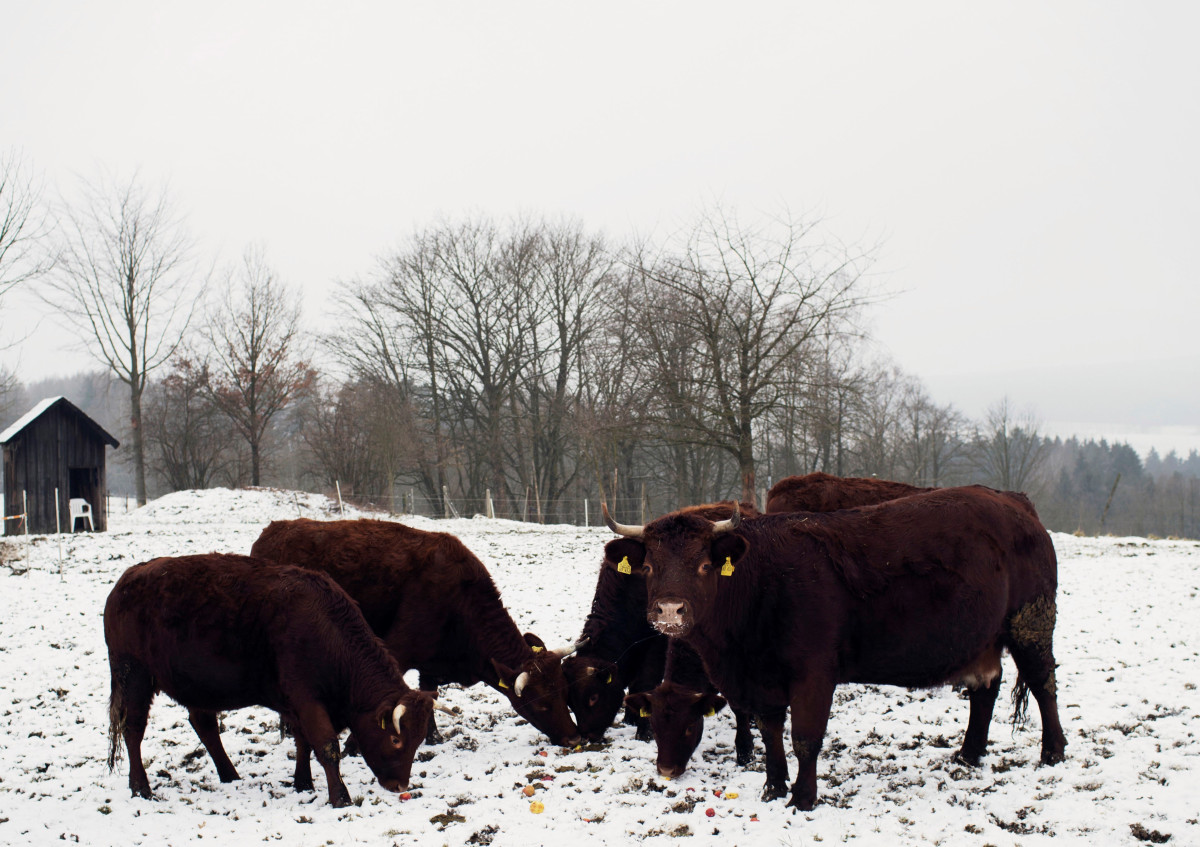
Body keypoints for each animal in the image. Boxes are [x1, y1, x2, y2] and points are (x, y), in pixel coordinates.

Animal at [105, 554, 444, 806]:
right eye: (396, 739)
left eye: (417, 740)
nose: (399, 784)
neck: (325, 632)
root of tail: (127, 579)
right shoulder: (307, 699)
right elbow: (326, 746)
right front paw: (340, 797)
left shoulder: (296, 704)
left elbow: (303, 742)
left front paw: (303, 783)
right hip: (134, 677)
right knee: (133, 730)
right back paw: (141, 787)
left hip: (195, 687)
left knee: (204, 725)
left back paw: (229, 774)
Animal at [249, 513, 580, 743]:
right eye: (541, 702)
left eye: (564, 691)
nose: (574, 737)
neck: (459, 598)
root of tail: (272, 531)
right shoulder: (397, 649)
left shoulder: (432, 662)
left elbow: (429, 694)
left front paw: (433, 737)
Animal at [556, 499, 753, 748]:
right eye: (570, 702)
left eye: (593, 697)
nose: (587, 735)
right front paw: (631, 717)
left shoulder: (656, 645)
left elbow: (646, 682)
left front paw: (644, 729)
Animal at [604, 484, 1065, 806]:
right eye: (649, 566)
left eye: (703, 565)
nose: (669, 610)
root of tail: (1012, 501)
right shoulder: (759, 679)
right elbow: (771, 733)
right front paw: (773, 787)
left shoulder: (814, 674)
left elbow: (806, 737)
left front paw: (803, 798)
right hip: (983, 639)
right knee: (986, 686)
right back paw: (969, 754)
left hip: (1031, 622)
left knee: (1044, 684)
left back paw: (1052, 753)